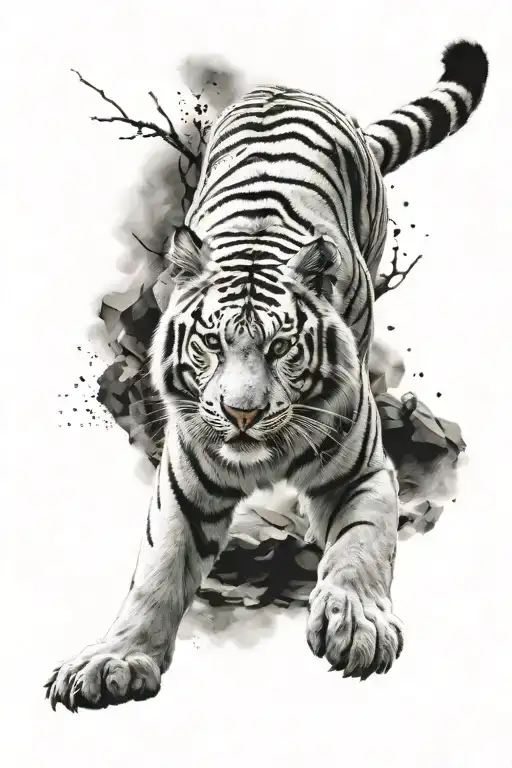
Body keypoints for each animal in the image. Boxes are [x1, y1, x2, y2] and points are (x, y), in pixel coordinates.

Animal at [46, 39, 488, 711]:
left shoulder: (363, 472)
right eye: (211, 343)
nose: (243, 414)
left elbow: (360, 546)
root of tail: (289, 88)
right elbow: (158, 568)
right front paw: (114, 660)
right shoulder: (183, 485)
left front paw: (356, 625)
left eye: (281, 347)